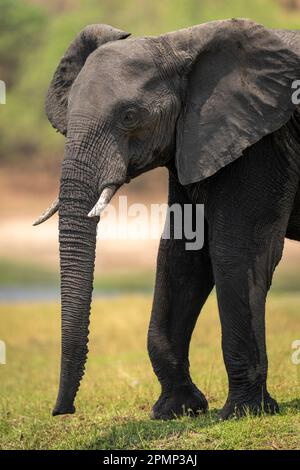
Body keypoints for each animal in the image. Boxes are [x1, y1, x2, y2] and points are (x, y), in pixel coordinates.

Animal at [34, 20, 300, 420]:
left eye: (129, 117)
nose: (62, 411)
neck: (177, 45)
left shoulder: (264, 141)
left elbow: (237, 250)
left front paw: (243, 412)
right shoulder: (192, 141)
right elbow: (181, 254)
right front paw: (177, 410)